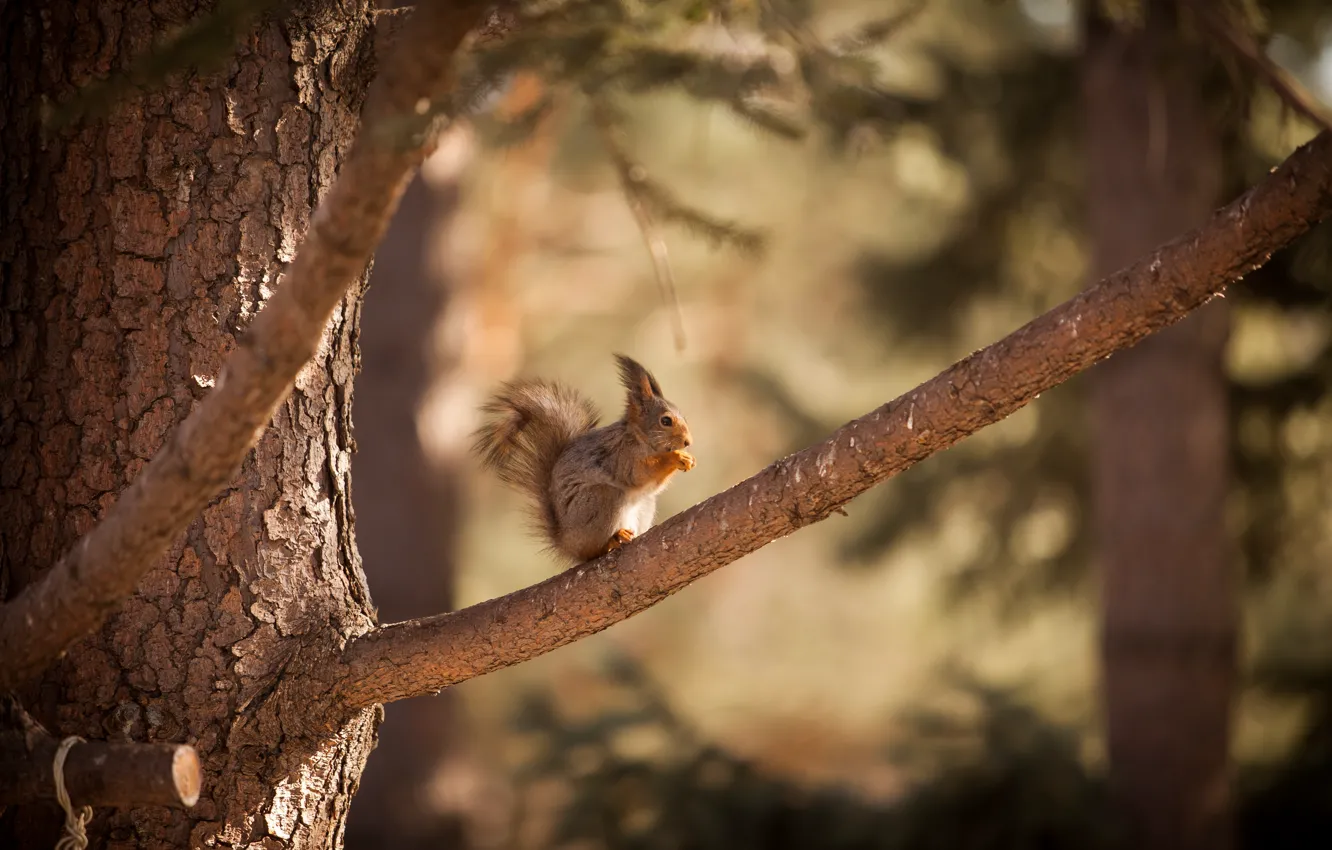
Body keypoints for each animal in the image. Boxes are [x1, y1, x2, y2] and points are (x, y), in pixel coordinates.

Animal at [471, 354, 697, 564]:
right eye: (665, 421)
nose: (688, 442)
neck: (639, 437)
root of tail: (566, 542)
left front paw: (687, 459)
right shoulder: (622, 456)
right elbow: (638, 475)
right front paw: (675, 457)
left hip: (644, 505)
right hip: (601, 500)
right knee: (591, 551)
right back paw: (611, 540)